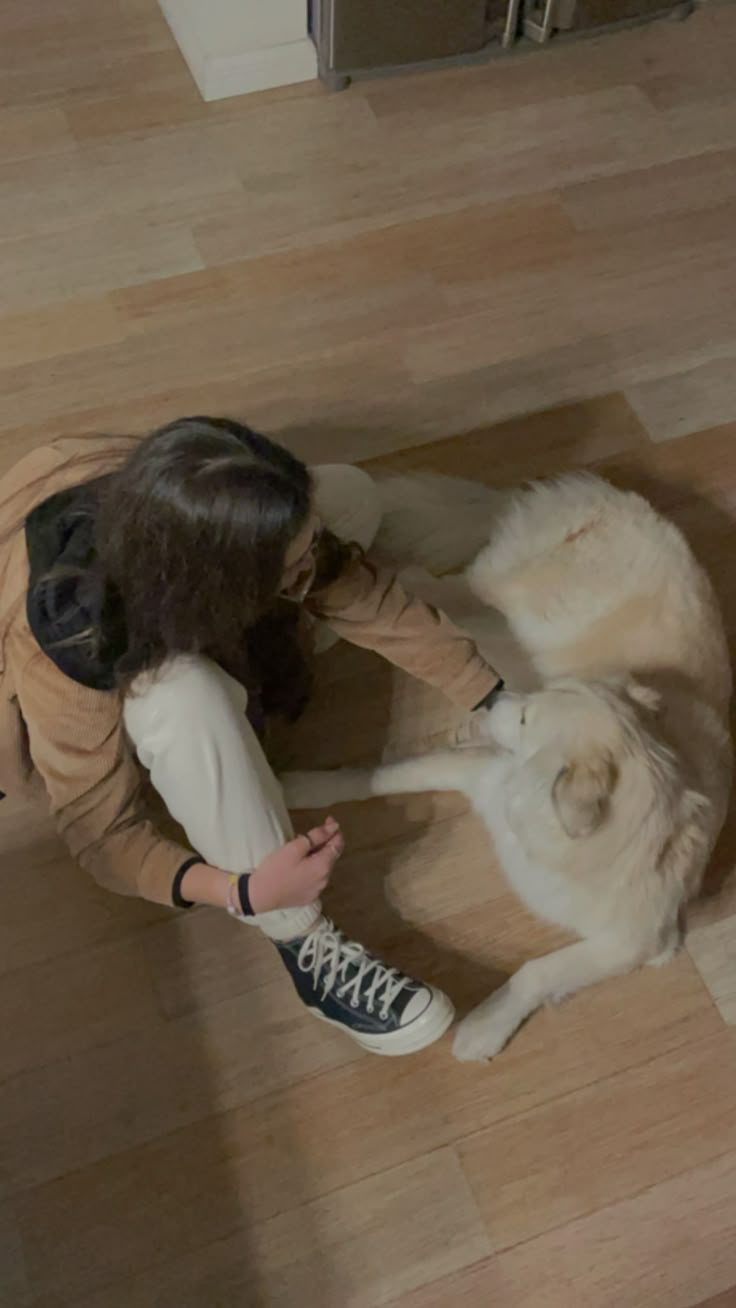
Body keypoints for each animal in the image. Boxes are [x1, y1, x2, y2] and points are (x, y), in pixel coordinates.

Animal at [282, 476, 732, 1056]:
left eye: (525, 718)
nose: (494, 701)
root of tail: (611, 496)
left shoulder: (636, 942)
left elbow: (537, 971)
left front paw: (483, 1027)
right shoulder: (475, 772)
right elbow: (377, 776)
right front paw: (301, 786)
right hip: (516, 603)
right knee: (416, 586)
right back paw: (326, 617)